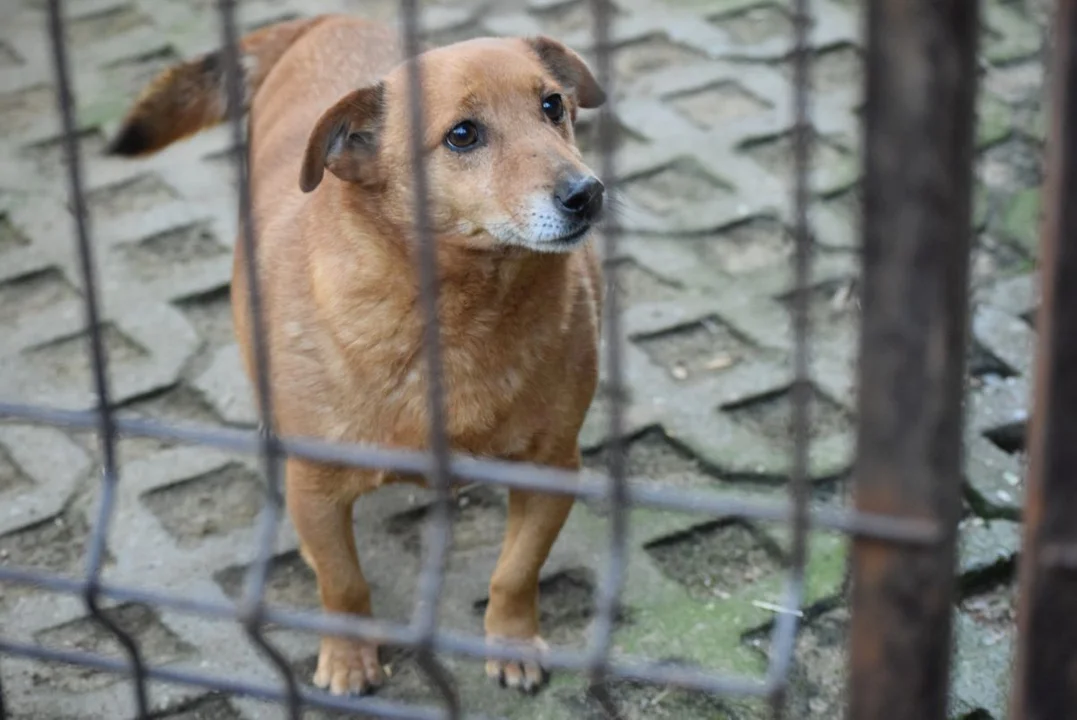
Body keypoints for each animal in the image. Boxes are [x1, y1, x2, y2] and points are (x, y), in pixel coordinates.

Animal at [108, 12, 607, 697]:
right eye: (462, 135)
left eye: (553, 105)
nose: (587, 194)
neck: (454, 319)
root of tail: (324, 18)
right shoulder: (317, 493)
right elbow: (341, 582)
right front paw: (348, 658)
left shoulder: (551, 469)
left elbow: (515, 571)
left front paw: (511, 641)